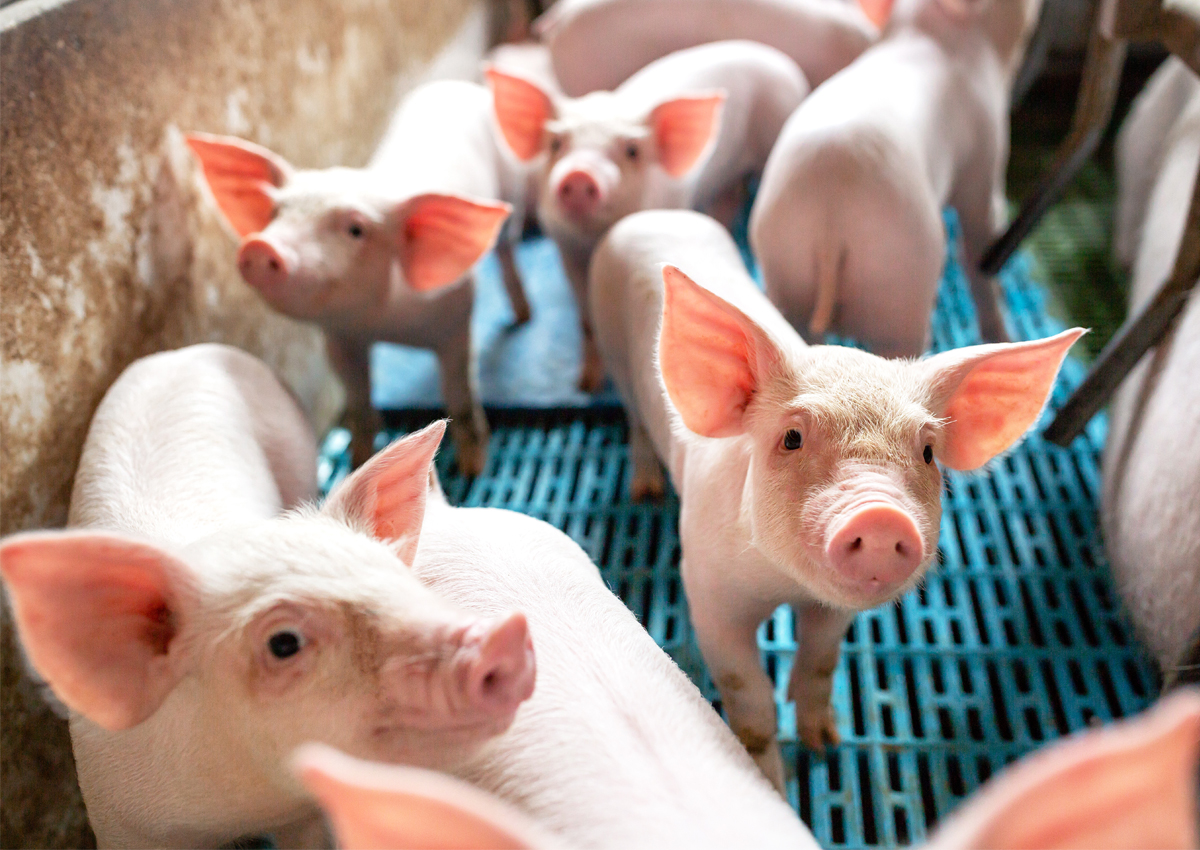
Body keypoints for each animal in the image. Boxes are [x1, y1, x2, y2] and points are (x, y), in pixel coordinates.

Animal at [0, 345, 535, 849]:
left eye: (399, 580)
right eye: (283, 643)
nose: (506, 635)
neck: (233, 811)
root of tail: (186, 351)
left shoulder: (303, 815)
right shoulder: (118, 820)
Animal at [186, 76, 533, 475]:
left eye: (355, 229)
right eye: (276, 212)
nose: (260, 246)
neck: (383, 324)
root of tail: (456, 84)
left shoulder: (457, 319)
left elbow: (460, 396)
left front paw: (473, 469)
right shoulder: (341, 338)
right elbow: (359, 407)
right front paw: (356, 463)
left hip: (513, 193)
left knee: (508, 250)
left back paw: (523, 317)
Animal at [488, 40, 809, 389]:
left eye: (632, 150)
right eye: (556, 143)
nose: (580, 174)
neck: (593, 239)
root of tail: (776, 59)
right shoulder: (565, 248)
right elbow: (586, 320)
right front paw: (585, 384)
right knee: (729, 199)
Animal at [590, 209, 1083, 790]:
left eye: (928, 452)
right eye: (792, 438)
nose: (882, 516)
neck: (784, 586)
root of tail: (654, 214)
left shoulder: (835, 612)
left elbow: (821, 662)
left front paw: (825, 742)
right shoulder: (708, 592)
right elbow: (749, 702)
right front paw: (771, 784)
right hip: (614, 354)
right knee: (634, 419)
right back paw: (644, 490)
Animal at [749, 0, 1044, 357]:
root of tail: (830, 226)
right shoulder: (985, 156)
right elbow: (981, 245)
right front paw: (1004, 334)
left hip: (787, 268)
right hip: (898, 285)